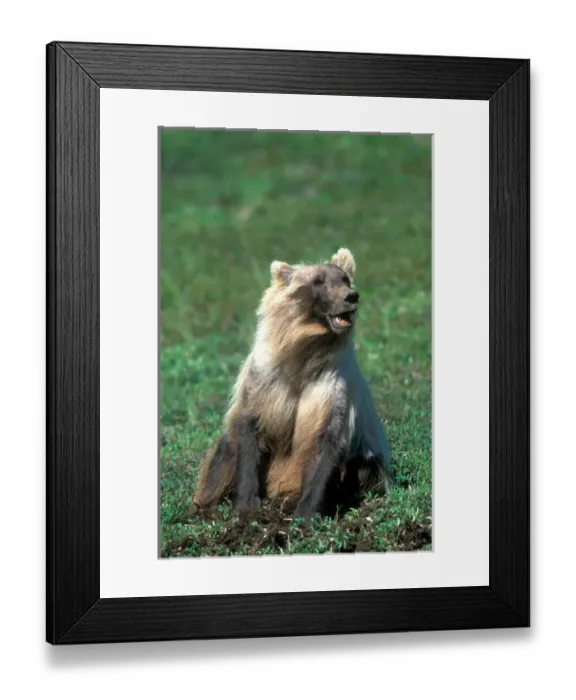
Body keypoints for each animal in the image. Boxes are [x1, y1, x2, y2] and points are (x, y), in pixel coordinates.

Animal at [192, 248, 393, 521]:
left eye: (345, 279)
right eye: (318, 281)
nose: (351, 296)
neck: (303, 353)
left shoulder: (330, 386)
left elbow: (326, 440)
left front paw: (305, 513)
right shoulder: (265, 380)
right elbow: (249, 428)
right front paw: (245, 506)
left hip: (364, 457)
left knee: (364, 468)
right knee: (222, 455)